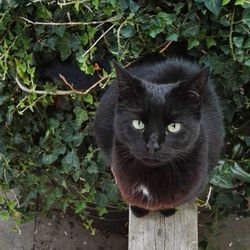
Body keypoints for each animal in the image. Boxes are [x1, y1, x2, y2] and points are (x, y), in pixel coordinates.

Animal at [94, 58, 225, 217]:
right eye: (138, 124)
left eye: (174, 126)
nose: (152, 145)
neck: (151, 175)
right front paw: (138, 210)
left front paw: (168, 210)